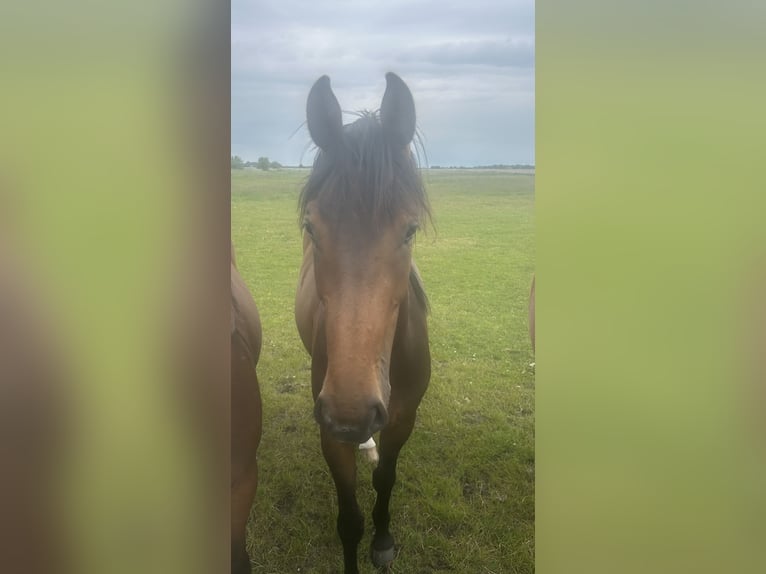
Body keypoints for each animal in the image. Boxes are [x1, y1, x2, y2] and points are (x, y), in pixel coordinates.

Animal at [294, 73, 432, 573]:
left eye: (410, 230)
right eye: (311, 228)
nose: (351, 413)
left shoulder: (403, 417)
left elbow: (386, 479)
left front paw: (384, 540)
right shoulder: (329, 432)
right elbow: (349, 519)